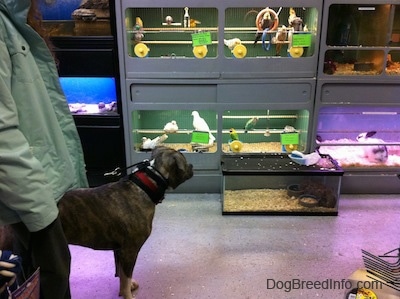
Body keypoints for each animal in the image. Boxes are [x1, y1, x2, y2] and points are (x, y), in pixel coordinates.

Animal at [0, 147, 192, 299]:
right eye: (184, 159)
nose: (192, 166)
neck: (147, 183)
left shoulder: (120, 251)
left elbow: (122, 275)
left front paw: (126, 287)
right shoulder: (130, 251)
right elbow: (125, 276)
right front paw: (127, 294)